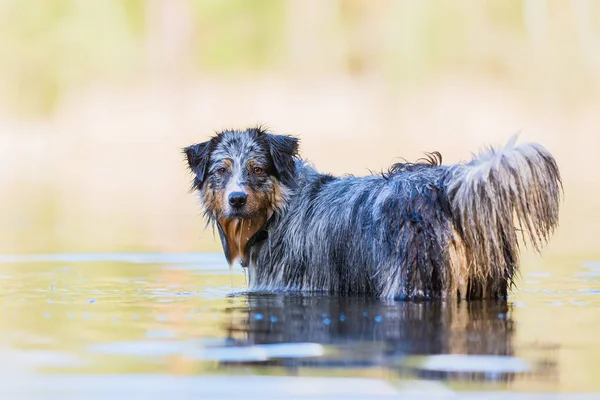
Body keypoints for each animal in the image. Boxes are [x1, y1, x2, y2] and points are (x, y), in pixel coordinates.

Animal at [184, 126, 564, 298]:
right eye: (221, 170)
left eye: (258, 169)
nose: (236, 199)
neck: (280, 210)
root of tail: (447, 185)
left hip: (409, 278)